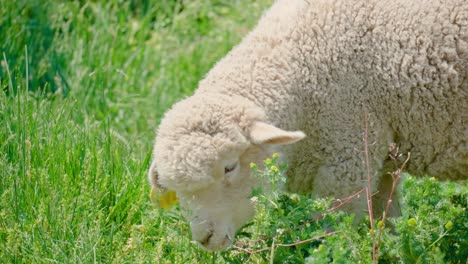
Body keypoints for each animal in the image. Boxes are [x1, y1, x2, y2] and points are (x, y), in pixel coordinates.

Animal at [148, 0, 468, 252]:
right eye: (177, 189)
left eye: (230, 167)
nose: (204, 238)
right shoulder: (382, 156)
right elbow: (384, 219)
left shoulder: (347, 158)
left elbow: (332, 232)